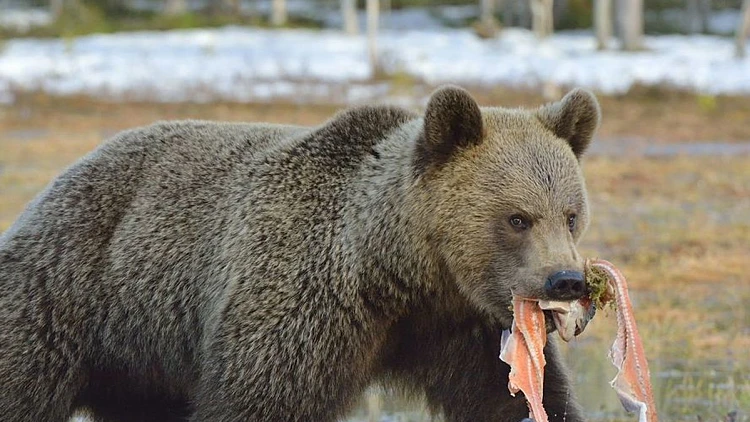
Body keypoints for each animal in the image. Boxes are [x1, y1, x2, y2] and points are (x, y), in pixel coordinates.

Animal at [0, 85, 604, 422]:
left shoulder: (460, 329)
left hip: (140, 361)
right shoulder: (300, 307)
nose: (565, 280)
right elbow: (258, 399)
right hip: (70, 296)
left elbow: (512, 399)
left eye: (571, 214)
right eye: (517, 218)